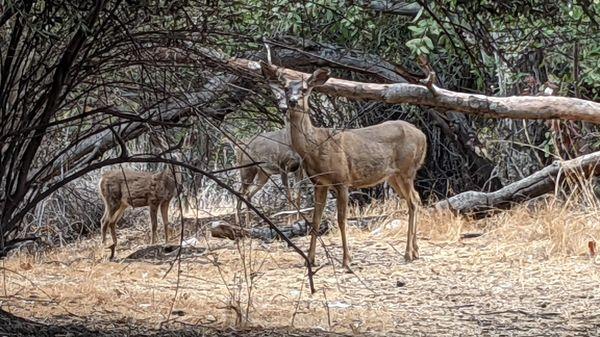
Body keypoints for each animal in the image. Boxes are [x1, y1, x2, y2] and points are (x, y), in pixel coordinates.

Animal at [262, 62, 426, 268]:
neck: (315, 145)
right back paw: (416, 250)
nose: (291, 101)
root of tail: (423, 136)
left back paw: (408, 253)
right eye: (285, 88)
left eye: (305, 89)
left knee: (412, 201)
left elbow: (341, 219)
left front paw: (347, 260)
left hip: (407, 169)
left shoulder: (342, 179)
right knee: (416, 198)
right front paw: (310, 259)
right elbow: (315, 220)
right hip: (393, 176)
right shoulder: (319, 183)